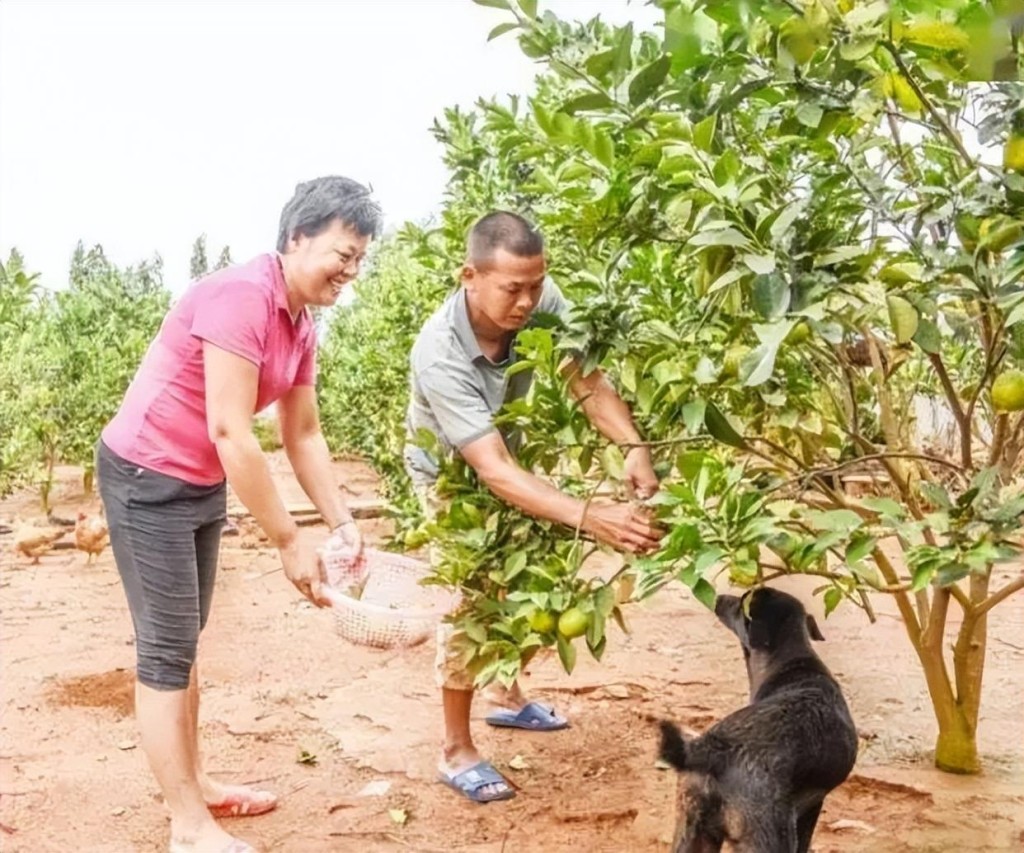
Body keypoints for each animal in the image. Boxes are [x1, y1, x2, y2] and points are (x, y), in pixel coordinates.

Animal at [655, 585, 856, 851]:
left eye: (742, 603)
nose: (718, 597)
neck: (792, 661)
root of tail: (711, 752)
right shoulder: (813, 806)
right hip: (768, 839)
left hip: (693, 832)